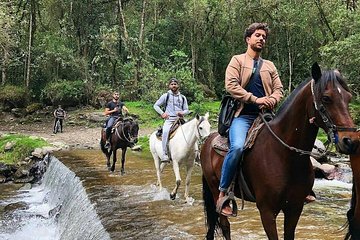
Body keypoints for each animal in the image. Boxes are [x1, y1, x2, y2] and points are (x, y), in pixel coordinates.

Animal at [200, 62, 358, 240]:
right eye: (326, 98)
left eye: (348, 97)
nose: (350, 141)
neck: (285, 156)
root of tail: (208, 141)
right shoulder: (267, 211)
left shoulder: (295, 208)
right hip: (215, 190)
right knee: (225, 224)